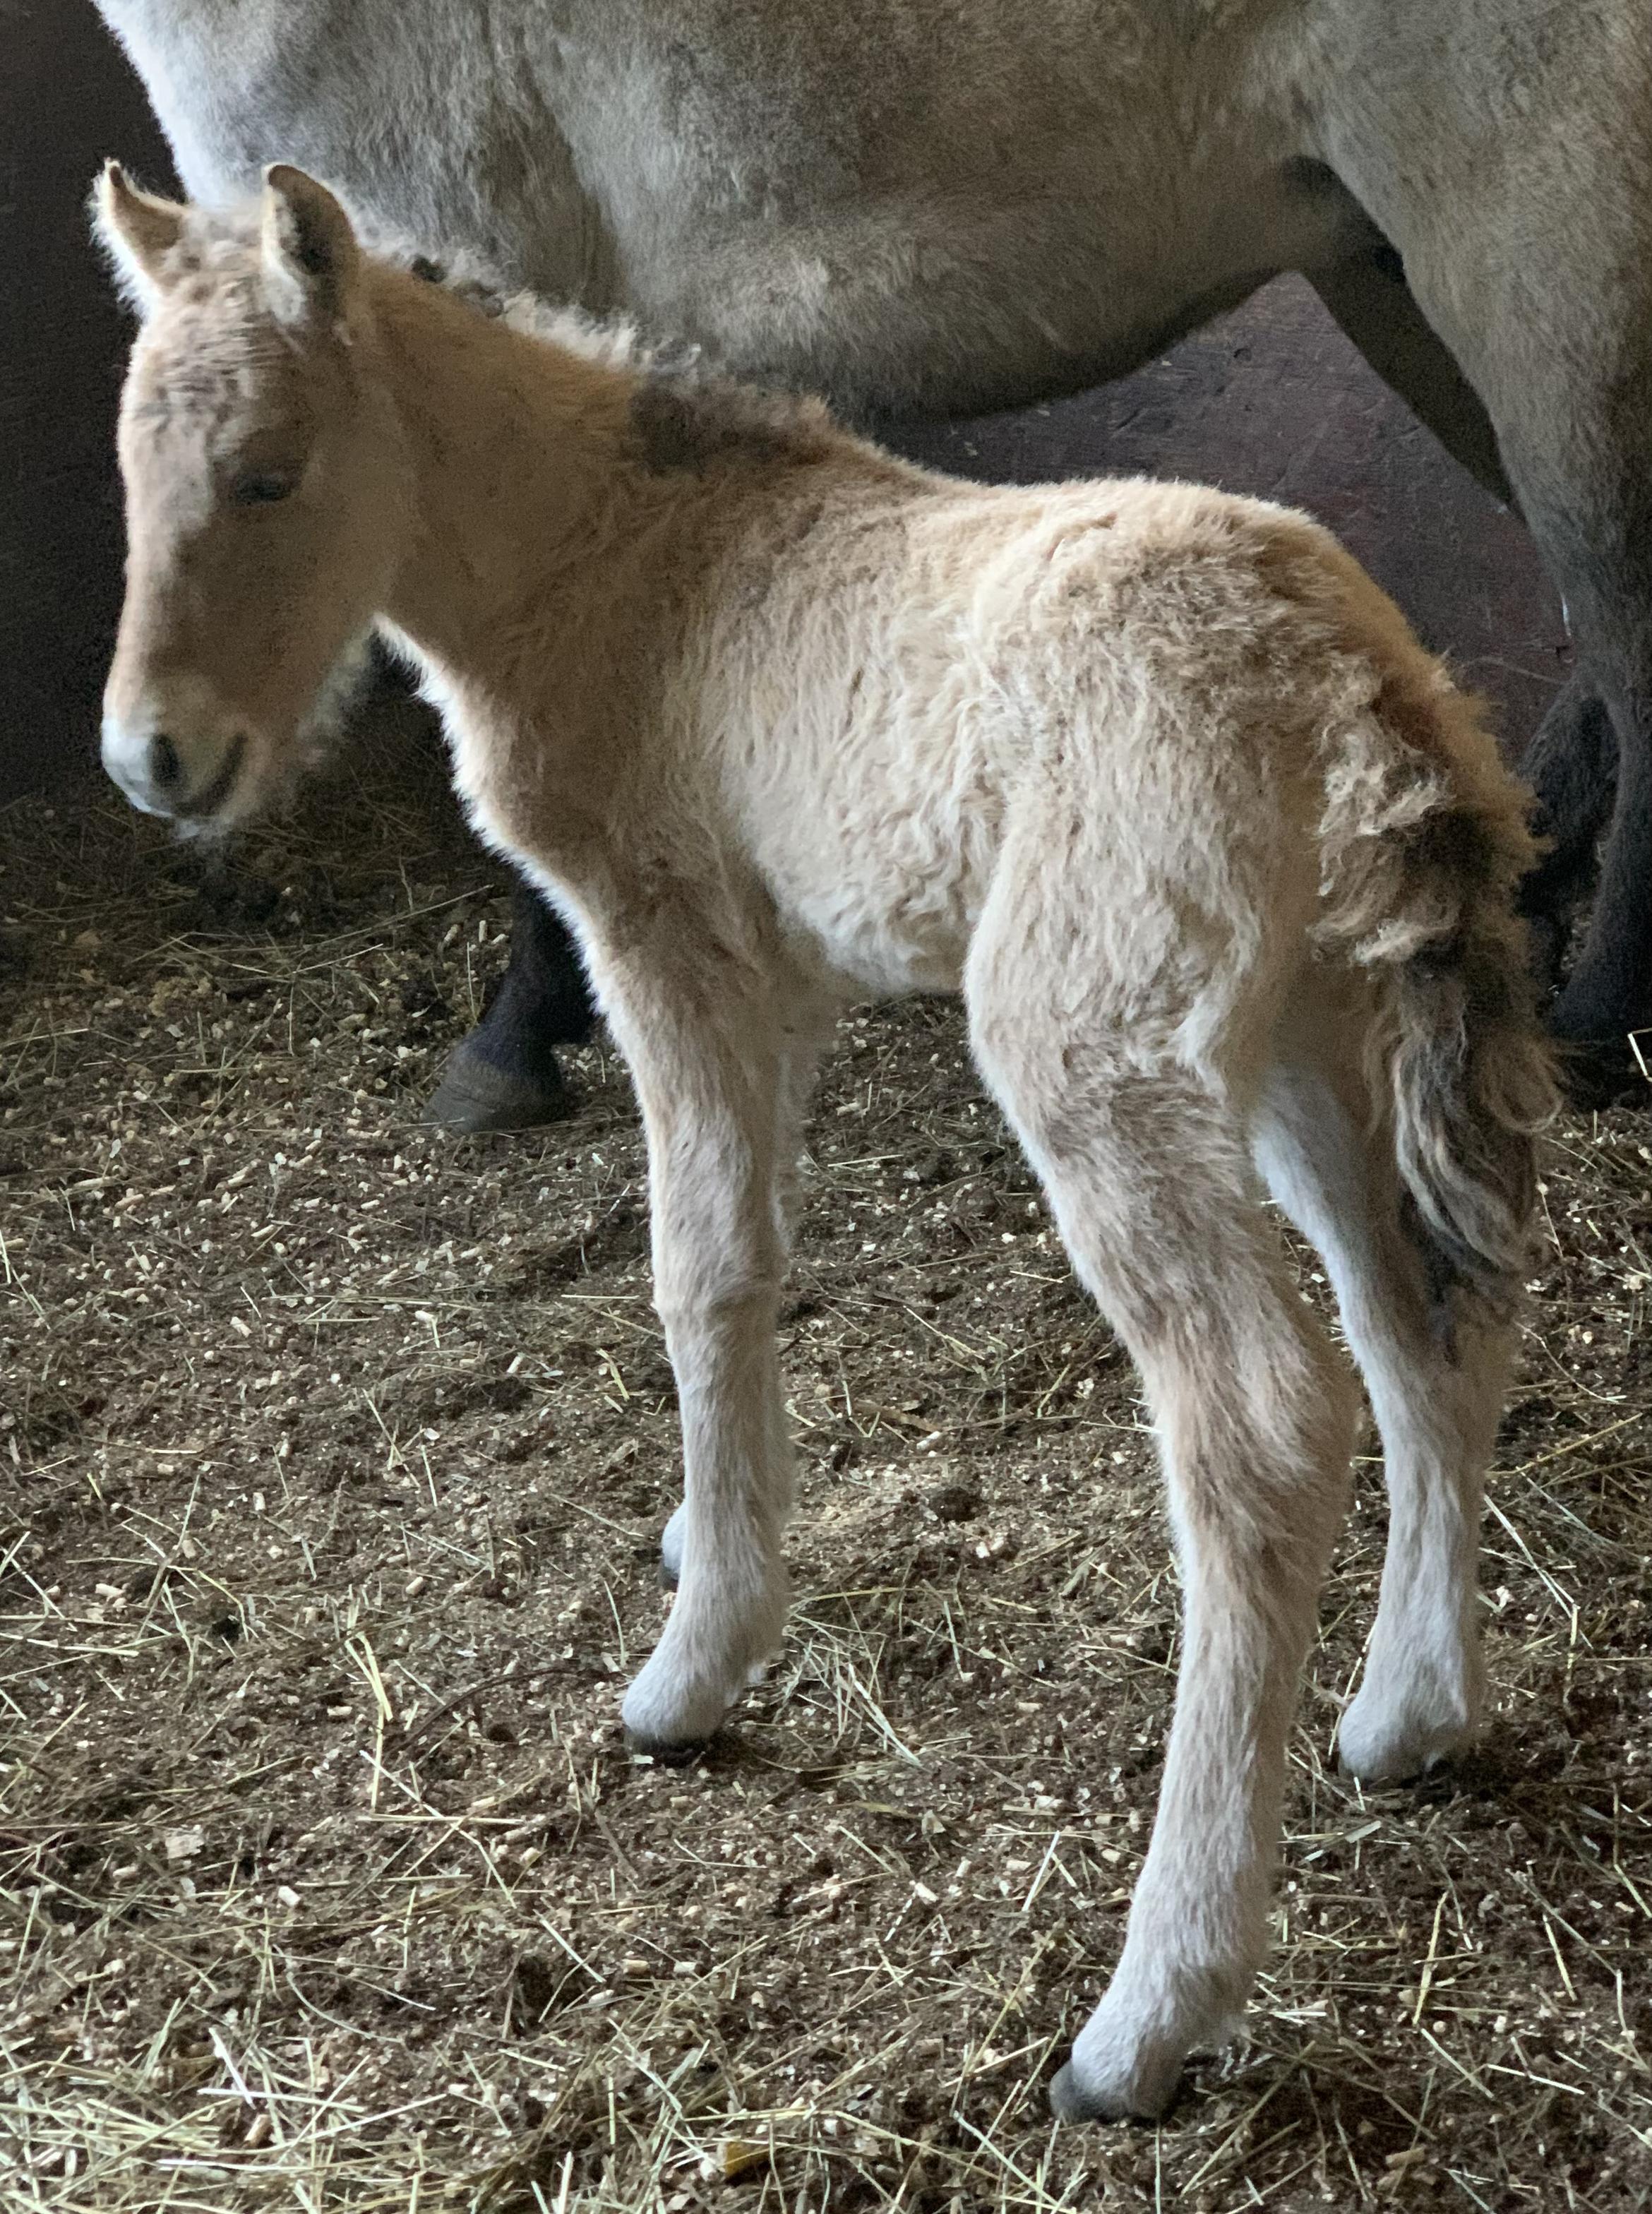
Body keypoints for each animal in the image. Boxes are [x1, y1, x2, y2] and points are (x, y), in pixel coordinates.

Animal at [91, 0, 1652, 1118]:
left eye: (268, 476)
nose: (150, 762)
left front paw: (516, 1040)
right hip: (1397, 274)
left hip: (1537, 266)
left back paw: (1597, 1030)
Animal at [94, 162, 1555, 2120]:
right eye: (127, 473)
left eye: (267, 472)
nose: (153, 761)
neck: (617, 556)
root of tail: (1350, 681)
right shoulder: (780, 988)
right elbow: (758, 1252)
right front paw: (699, 1540)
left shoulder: (667, 944)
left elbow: (697, 1269)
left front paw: (696, 1661)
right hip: (1321, 1038)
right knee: (1427, 1325)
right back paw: (1408, 1715)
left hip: (1095, 1053)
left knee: (1258, 1423)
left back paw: (1147, 2013)